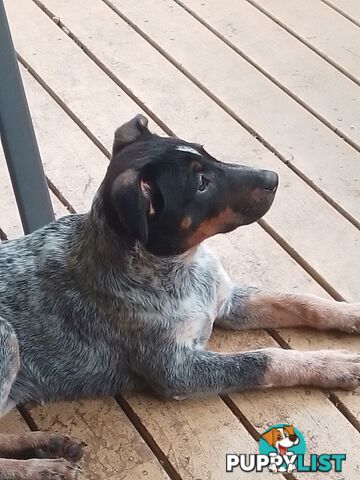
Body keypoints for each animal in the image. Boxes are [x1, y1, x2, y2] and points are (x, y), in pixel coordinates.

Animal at [0, 114, 358, 478]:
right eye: (201, 183)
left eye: (208, 154)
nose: (273, 177)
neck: (181, 269)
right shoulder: (177, 371)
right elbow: (265, 358)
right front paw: (333, 365)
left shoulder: (227, 301)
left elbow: (303, 302)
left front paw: (351, 314)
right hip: (7, 337)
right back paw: (42, 467)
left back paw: (49, 443)